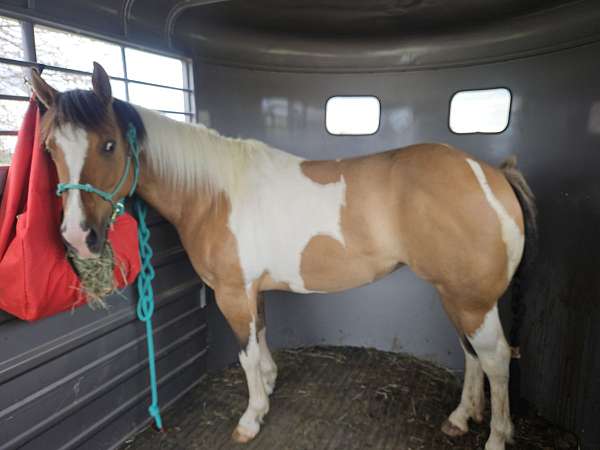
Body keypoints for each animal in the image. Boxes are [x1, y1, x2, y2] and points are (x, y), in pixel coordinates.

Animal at [28, 63, 536, 450]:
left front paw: (252, 417)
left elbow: (246, 354)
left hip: (471, 300)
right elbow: (261, 338)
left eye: (108, 144)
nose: (78, 236)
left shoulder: (232, 293)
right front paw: (270, 385)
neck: (212, 194)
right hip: (455, 295)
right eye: (50, 148)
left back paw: (496, 437)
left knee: (496, 359)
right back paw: (461, 417)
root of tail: (491, 173)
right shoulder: (252, 290)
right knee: (472, 355)